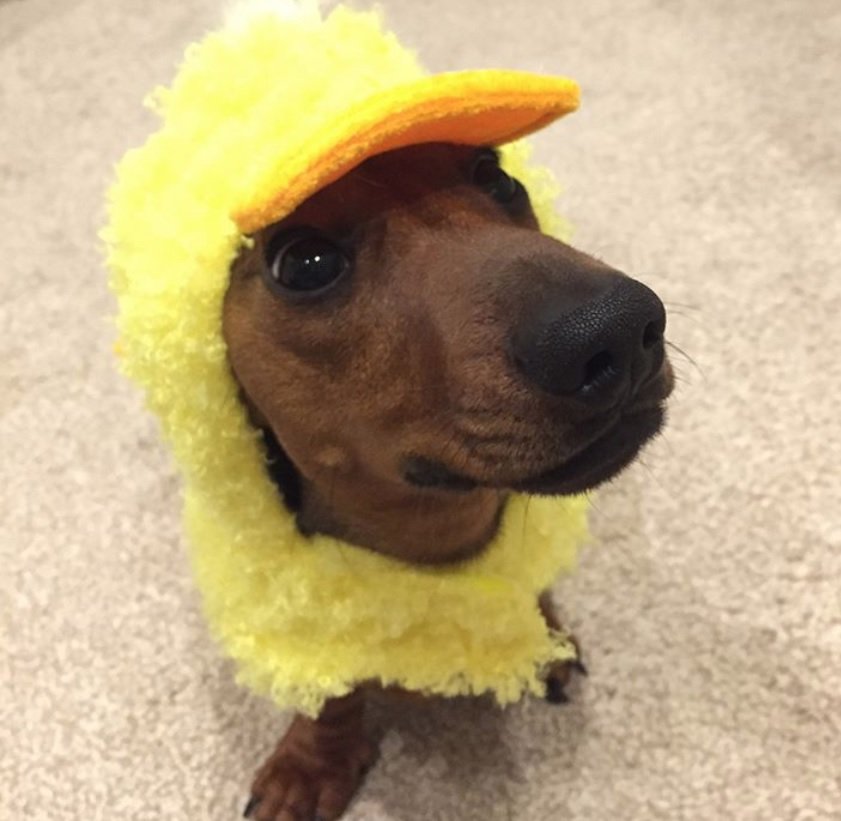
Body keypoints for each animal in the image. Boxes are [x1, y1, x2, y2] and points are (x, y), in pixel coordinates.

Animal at [221, 143, 668, 820]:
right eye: (303, 263)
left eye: (497, 176)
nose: (617, 327)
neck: (436, 534)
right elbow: (331, 695)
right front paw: (311, 761)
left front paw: (542, 636)